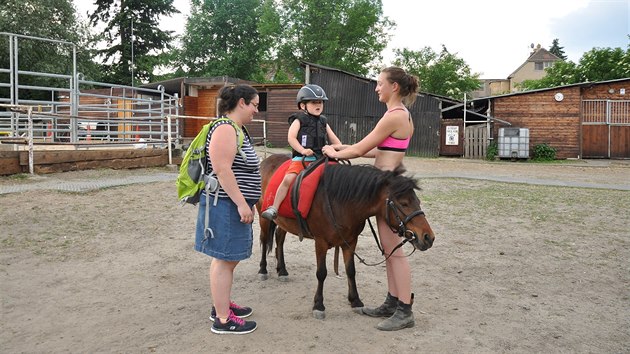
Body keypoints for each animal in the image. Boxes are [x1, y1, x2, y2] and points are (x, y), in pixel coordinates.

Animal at [256, 153, 434, 320]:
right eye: (404, 203)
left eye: (417, 201)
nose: (428, 237)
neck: (339, 202)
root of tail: (266, 160)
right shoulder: (320, 242)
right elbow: (321, 273)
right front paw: (319, 305)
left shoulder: (350, 241)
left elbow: (351, 270)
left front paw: (355, 301)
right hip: (263, 217)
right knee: (264, 240)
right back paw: (263, 270)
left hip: (284, 222)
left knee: (279, 238)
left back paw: (282, 270)